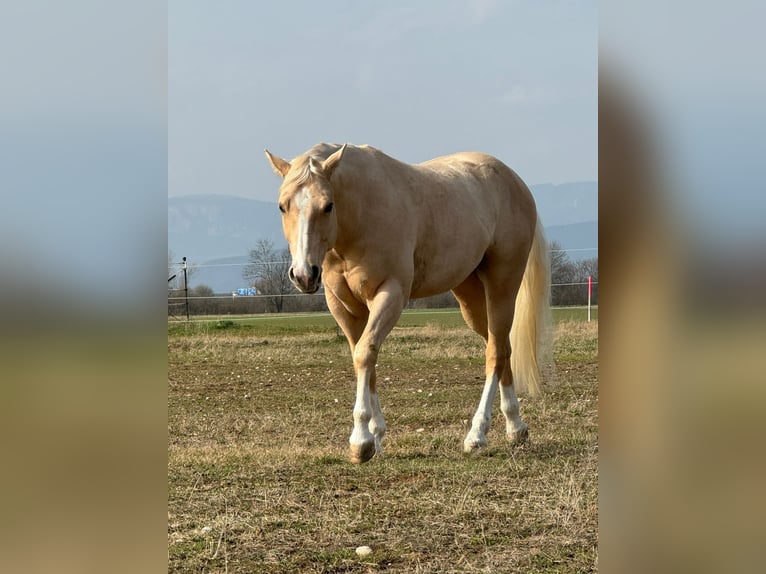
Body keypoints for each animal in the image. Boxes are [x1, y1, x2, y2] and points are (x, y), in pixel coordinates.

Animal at [266, 143, 552, 464]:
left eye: (328, 205)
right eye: (282, 206)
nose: (304, 274)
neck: (359, 216)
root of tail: (515, 181)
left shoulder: (391, 294)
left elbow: (365, 353)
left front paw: (361, 441)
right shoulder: (343, 305)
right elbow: (362, 358)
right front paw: (376, 437)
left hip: (502, 284)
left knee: (495, 352)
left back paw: (477, 435)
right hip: (470, 295)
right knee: (502, 347)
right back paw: (516, 428)